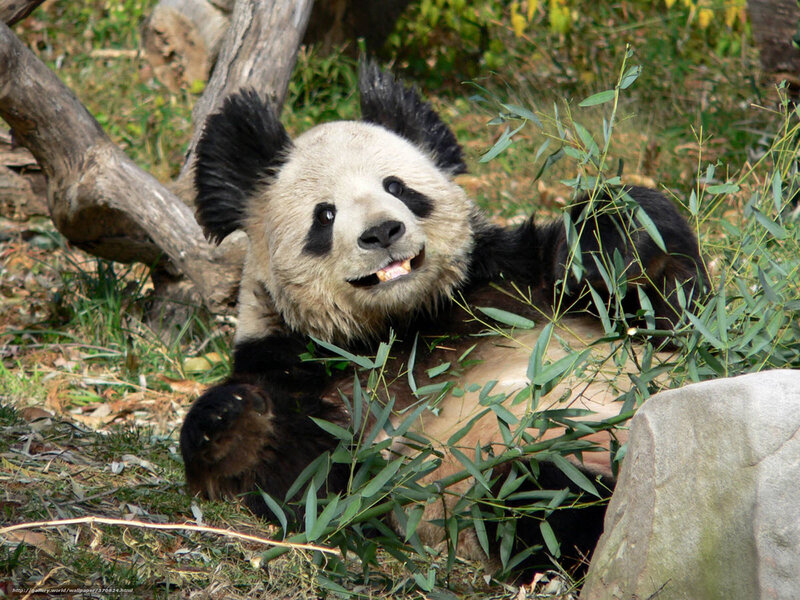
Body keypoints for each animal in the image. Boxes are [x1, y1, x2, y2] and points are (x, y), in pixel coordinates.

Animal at [180, 62, 706, 571]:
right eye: (324, 215)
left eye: (397, 187)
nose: (382, 232)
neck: (403, 323)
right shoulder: (306, 366)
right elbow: (306, 483)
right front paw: (229, 417)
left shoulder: (510, 284)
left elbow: (665, 311)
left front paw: (611, 238)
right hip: (522, 467)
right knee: (543, 495)